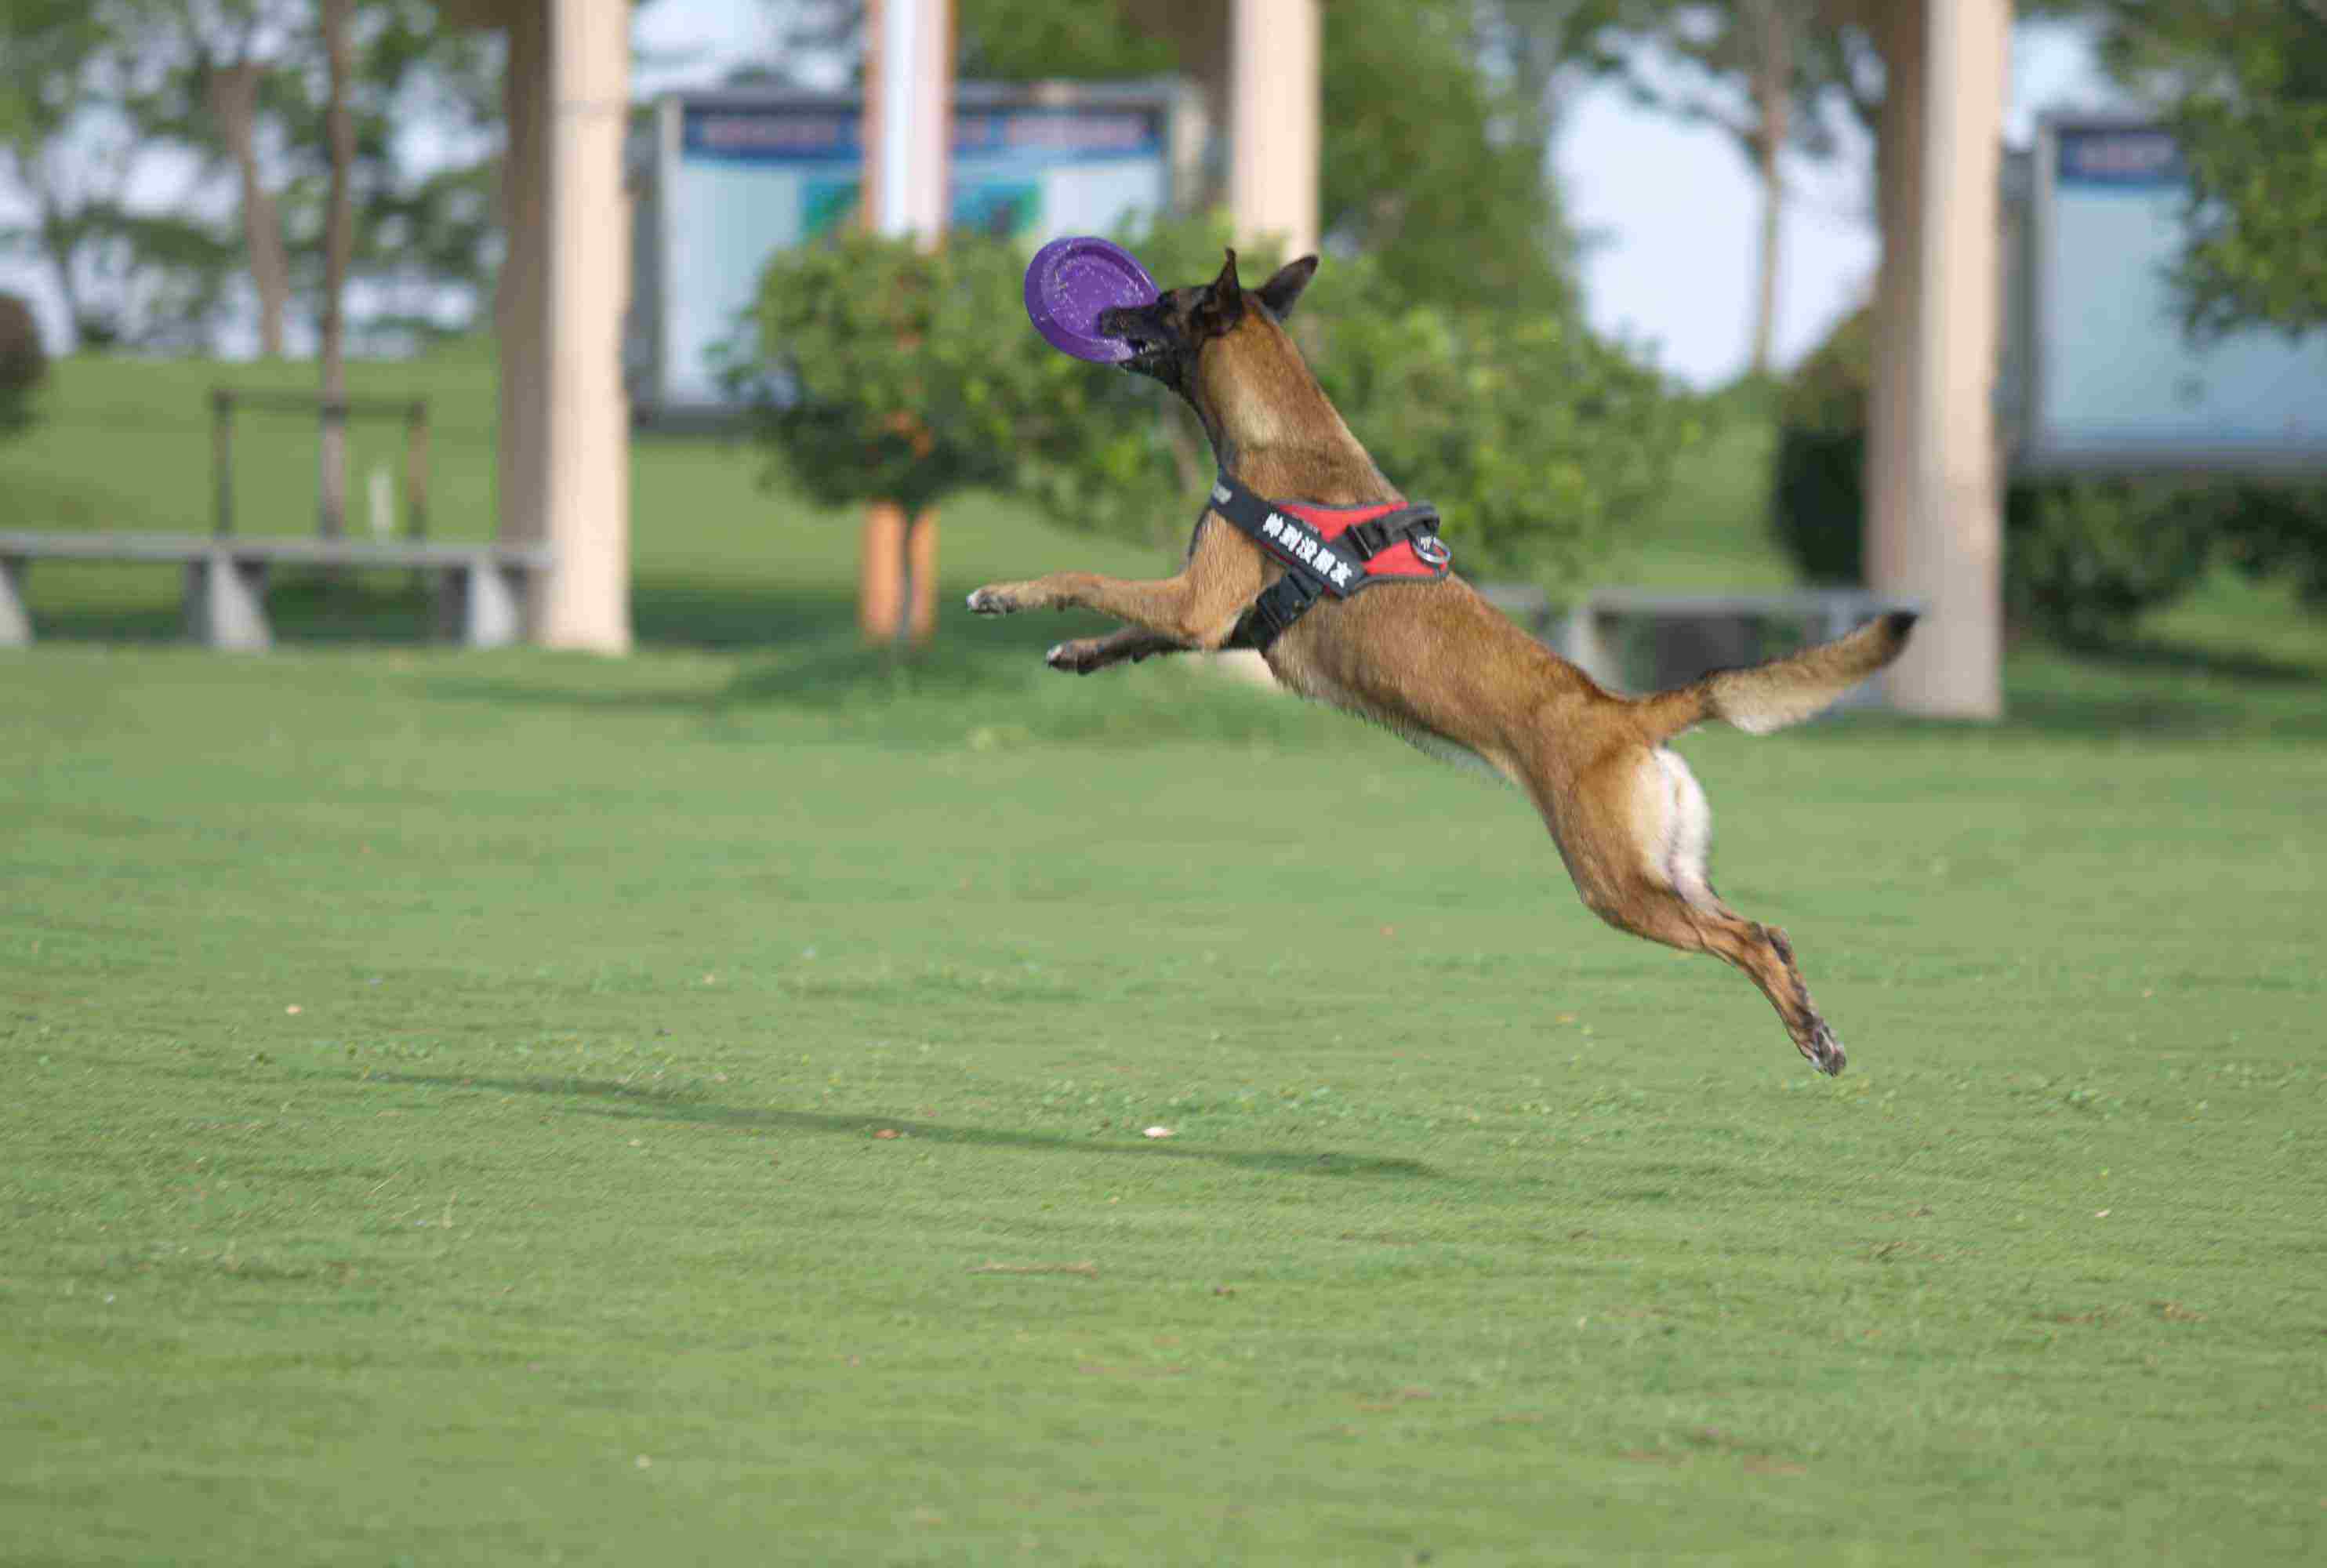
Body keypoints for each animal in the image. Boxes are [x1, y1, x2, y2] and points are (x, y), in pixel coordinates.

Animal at [972, 249, 1917, 1069]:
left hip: (1618, 886)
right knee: (1774, 931)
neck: (1283, 435)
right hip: (1671, 871)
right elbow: (1128, 634)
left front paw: (1006, 596)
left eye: (1160, 303)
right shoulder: (1221, 624)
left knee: (1747, 939)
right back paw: (1812, 1018)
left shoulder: (1198, 605)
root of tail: (1622, 712)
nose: (1100, 311)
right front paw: (1077, 653)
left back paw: (1811, 1037)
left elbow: (1085, 578)